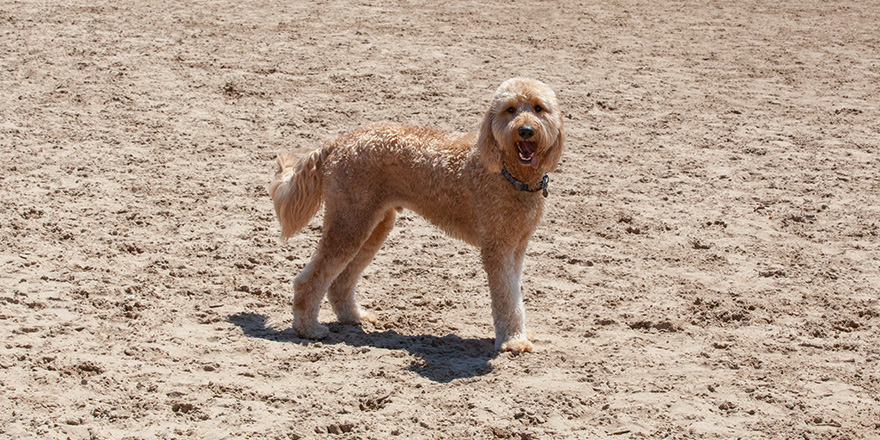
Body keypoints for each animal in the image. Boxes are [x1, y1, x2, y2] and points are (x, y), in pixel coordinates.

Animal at [268, 76, 564, 350]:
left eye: (538, 108)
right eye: (510, 109)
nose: (526, 130)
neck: (509, 174)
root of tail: (337, 141)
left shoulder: (517, 246)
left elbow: (515, 294)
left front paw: (520, 334)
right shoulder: (497, 247)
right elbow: (506, 297)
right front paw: (514, 341)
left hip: (373, 224)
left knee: (339, 282)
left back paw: (355, 317)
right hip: (349, 222)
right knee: (309, 280)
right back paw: (308, 328)